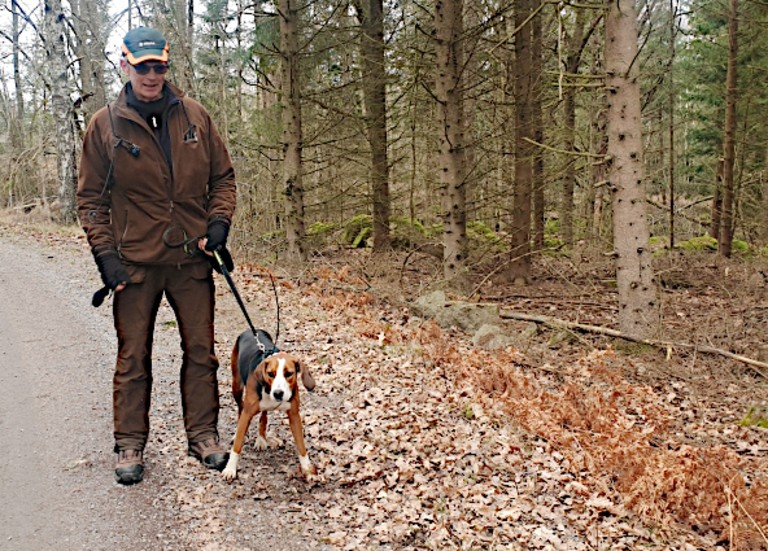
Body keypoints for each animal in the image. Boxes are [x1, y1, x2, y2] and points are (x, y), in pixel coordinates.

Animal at [222, 330, 318, 480]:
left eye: (289, 374)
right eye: (270, 374)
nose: (278, 393)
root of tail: (251, 330)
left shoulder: (294, 415)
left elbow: (301, 446)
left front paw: (308, 470)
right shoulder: (247, 413)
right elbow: (237, 446)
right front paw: (230, 468)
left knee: (264, 415)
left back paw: (261, 439)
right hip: (236, 386)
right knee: (240, 408)